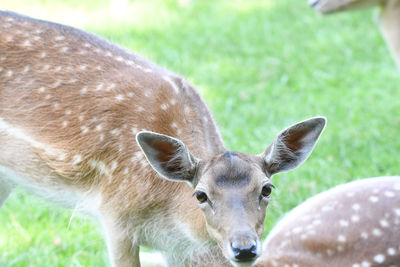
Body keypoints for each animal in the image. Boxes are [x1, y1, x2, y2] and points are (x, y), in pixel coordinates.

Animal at [0, 11, 326, 267]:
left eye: (267, 189)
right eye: (201, 195)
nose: (244, 248)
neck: (171, 219)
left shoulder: (177, 249)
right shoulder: (114, 214)